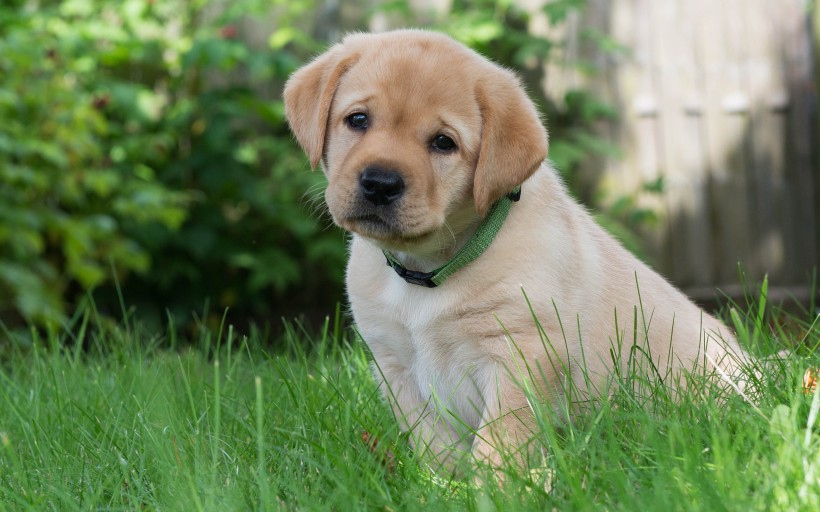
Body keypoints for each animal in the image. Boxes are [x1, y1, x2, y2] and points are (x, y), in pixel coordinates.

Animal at [284, 31, 748, 472]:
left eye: (443, 143)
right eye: (358, 119)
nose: (380, 183)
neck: (430, 270)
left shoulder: (523, 354)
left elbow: (501, 439)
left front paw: (492, 487)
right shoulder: (395, 364)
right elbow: (434, 443)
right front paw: (440, 486)